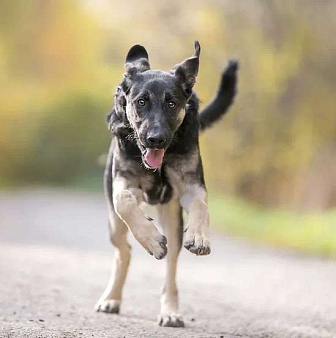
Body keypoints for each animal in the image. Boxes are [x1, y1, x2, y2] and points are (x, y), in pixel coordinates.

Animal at [95, 41, 239, 326]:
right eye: (141, 102)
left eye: (172, 103)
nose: (156, 139)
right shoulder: (124, 185)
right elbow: (125, 202)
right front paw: (150, 239)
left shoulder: (191, 185)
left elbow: (201, 206)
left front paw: (199, 236)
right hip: (114, 225)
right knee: (124, 251)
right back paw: (112, 298)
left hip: (172, 220)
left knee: (170, 267)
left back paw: (170, 311)